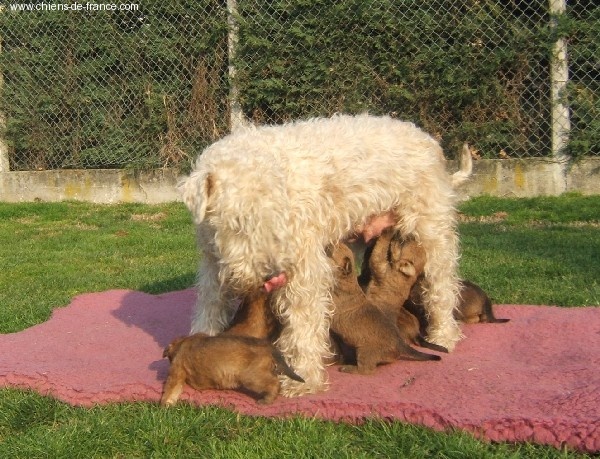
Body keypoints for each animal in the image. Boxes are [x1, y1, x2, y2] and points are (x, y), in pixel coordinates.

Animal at [161, 334, 304, 406]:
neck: (182, 344)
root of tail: (269, 346)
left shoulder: (176, 372)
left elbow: (169, 391)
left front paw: (164, 405)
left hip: (251, 377)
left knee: (274, 384)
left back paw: (266, 400)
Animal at [326, 243, 438, 376]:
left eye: (332, 251)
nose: (329, 243)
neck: (348, 280)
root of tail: (400, 344)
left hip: (364, 351)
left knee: (366, 370)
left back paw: (348, 368)